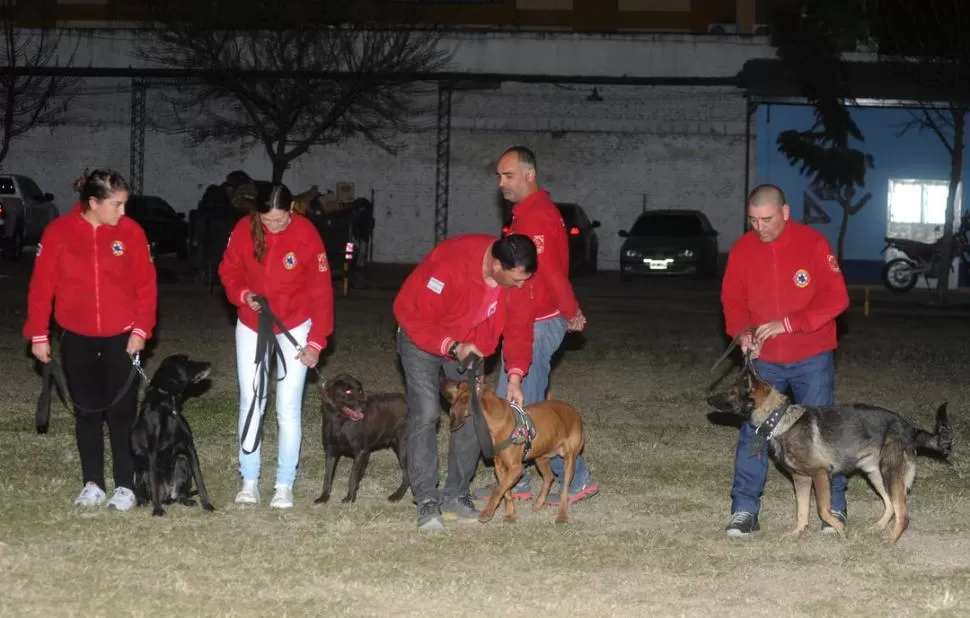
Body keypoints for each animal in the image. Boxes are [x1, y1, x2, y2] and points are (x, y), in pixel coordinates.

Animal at [129, 352, 214, 516]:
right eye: (188, 361)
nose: (209, 363)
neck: (168, 404)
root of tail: (167, 496)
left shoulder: (190, 449)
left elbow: (200, 481)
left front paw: (207, 504)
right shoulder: (152, 453)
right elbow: (154, 485)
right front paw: (157, 510)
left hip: (182, 463)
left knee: (180, 495)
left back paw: (185, 500)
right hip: (142, 472)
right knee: (146, 492)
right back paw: (145, 502)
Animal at [314, 372, 408, 502]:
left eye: (359, 390)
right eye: (347, 391)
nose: (365, 404)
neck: (340, 422)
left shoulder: (361, 451)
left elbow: (353, 476)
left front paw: (350, 497)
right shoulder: (331, 451)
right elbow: (327, 476)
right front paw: (324, 497)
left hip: (403, 448)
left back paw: (397, 495)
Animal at [438, 378, 584, 524]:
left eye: (458, 385)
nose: (442, 379)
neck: (499, 421)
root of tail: (573, 410)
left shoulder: (516, 468)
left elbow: (498, 490)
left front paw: (487, 512)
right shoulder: (500, 467)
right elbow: (505, 490)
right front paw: (510, 514)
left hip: (569, 460)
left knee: (564, 490)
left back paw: (562, 515)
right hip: (540, 457)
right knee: (549, 477)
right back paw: (539, 503)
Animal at [708, 360, 948, 544]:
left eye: (732, 391)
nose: (708, 398)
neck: (779, 419)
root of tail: (910, 428)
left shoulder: (821, 473)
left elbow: (823, 509)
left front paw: (840, 530)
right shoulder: (801, 478)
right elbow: (802, 511)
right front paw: (797, 532)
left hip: (889, 473)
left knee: (903, 513)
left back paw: (890, 540)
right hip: (875, 473)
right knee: (891, 505)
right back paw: (878, 528)